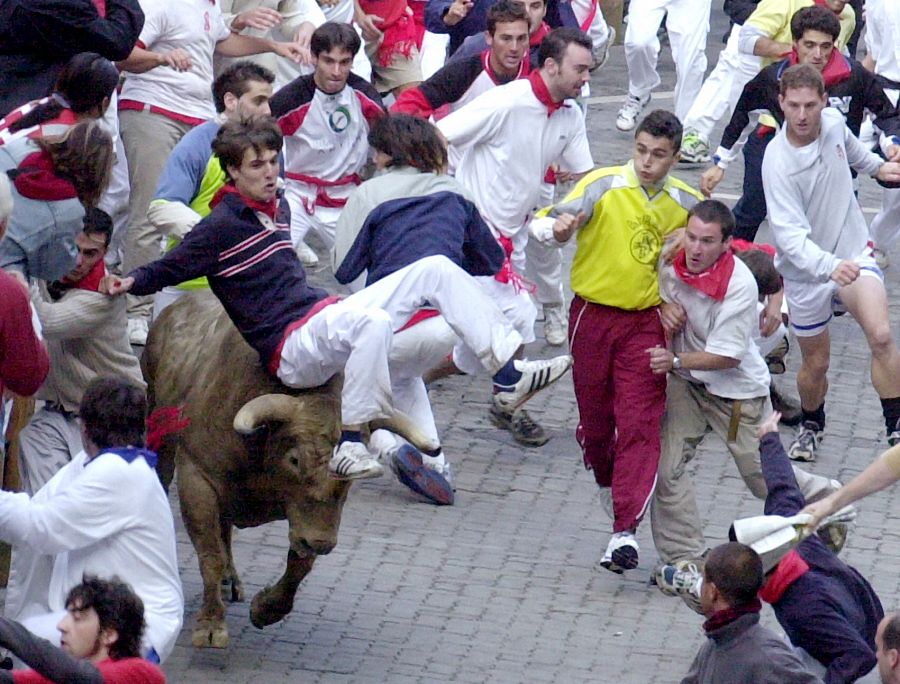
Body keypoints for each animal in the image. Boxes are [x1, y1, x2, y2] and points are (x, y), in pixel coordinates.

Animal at [142, 292, 430, 648]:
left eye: (346, 477)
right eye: (294, 460)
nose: (322, 542)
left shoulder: (309, 516)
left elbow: (299, 564)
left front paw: (266, 609)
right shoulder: (198, 476)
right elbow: (210, 554)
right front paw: (210, 624)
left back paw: (231, 580)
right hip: (160, 440)